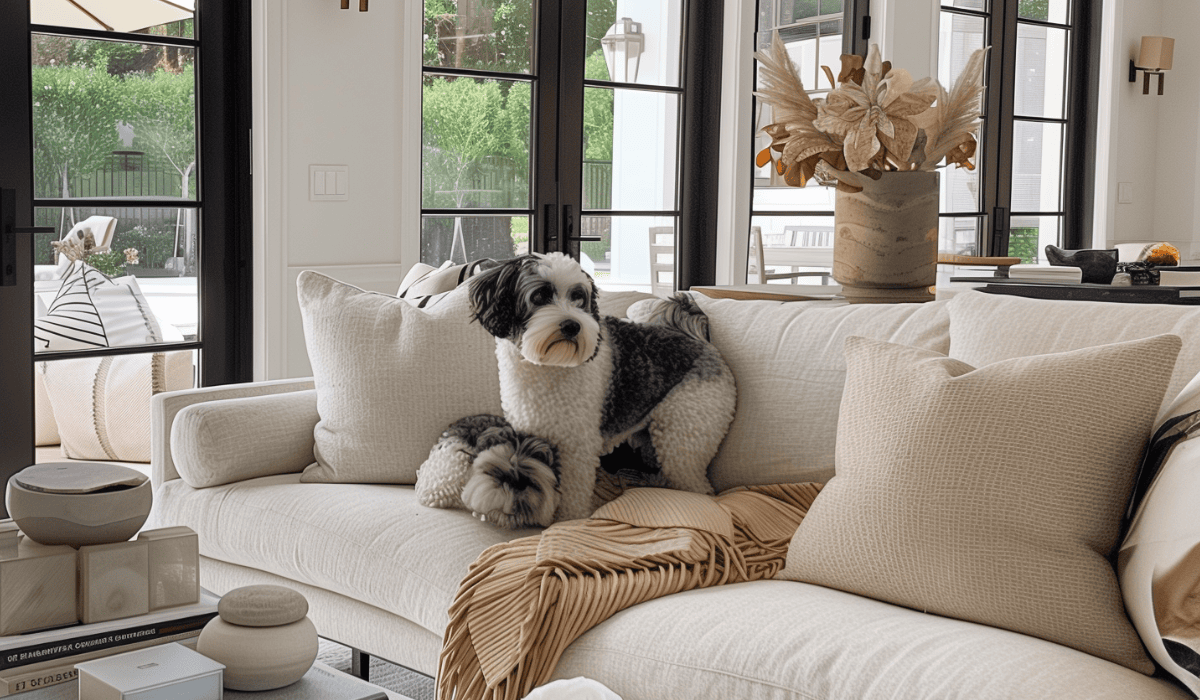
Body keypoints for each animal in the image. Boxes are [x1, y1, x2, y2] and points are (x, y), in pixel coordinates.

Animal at [458, 254, 734, 523]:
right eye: (539, 296)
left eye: (578, 298)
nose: (572, 326)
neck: (550, 365)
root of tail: (702, 343)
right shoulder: (530, 434)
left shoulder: (577, 450)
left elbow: (572, 499)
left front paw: (566, 522)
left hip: (683, 442)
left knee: (701, 488)